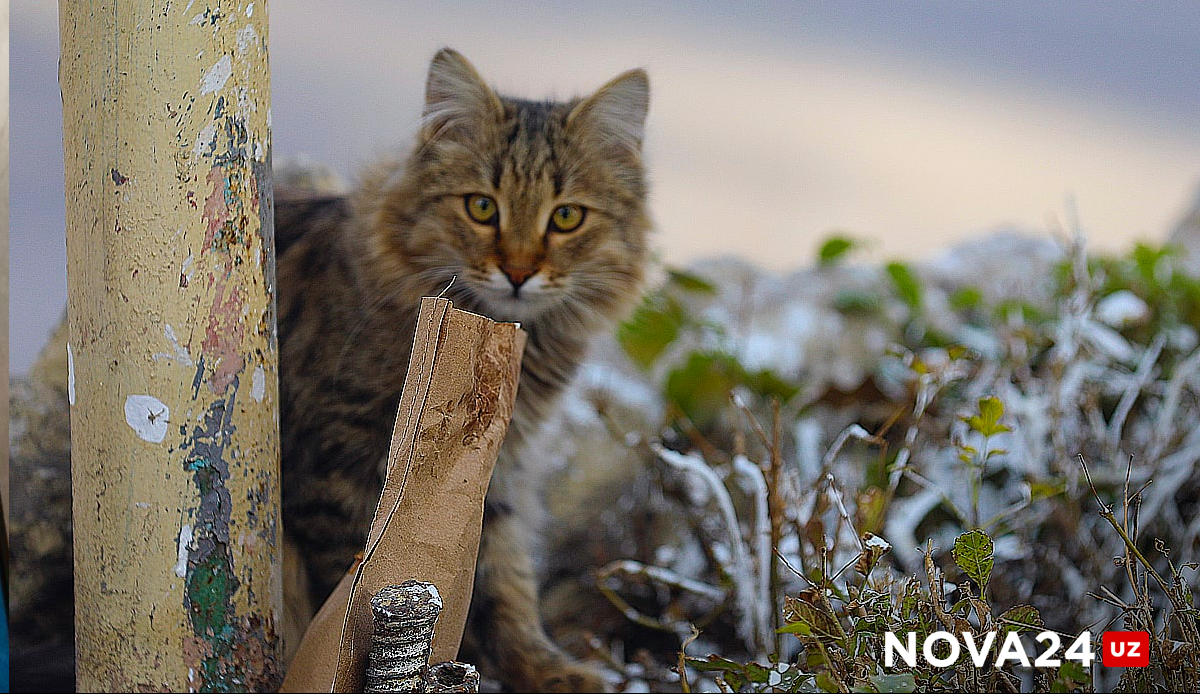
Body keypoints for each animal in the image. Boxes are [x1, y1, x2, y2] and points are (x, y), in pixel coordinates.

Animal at [276, 45, 652, 686]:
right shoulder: (332, 469)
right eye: (481, 207)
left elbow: (505, 584)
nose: (519, 272)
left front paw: (546, 672)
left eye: (567, 218)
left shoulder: (493, 470)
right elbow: (364, 589)